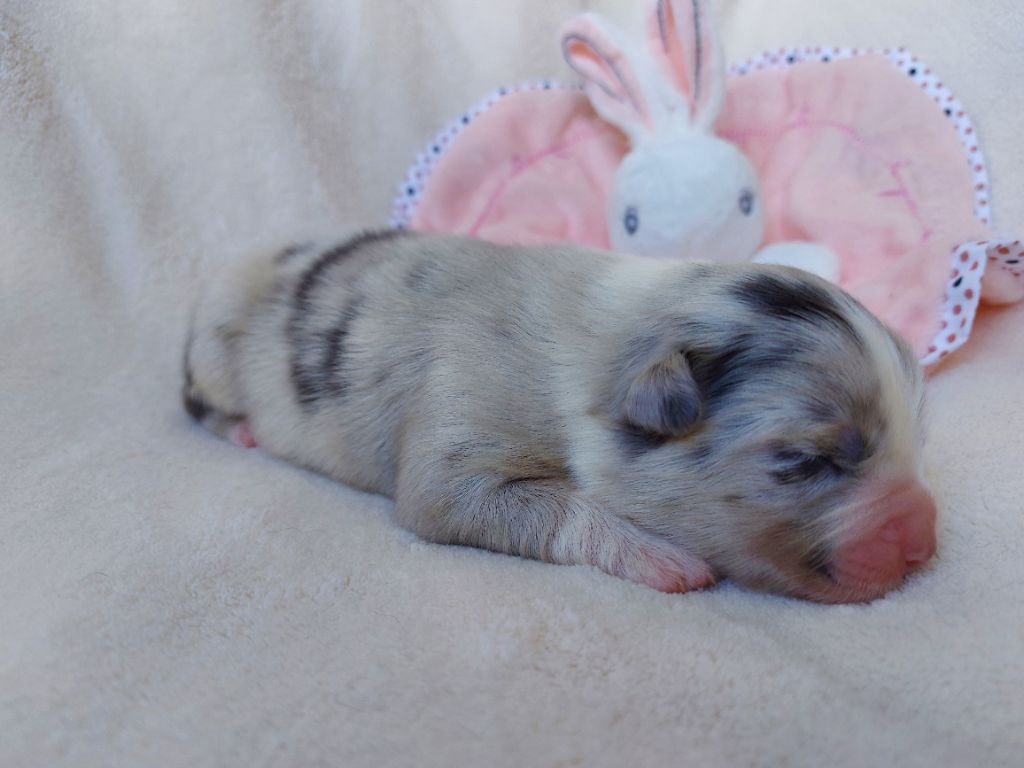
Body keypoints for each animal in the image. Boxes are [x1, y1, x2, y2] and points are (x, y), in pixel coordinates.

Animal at [183, 230, 937, 603]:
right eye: (806, 462)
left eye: (915, 441)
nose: (924, 544)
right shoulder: (457, 434)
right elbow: (498, 503)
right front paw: (662, 558)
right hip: (214, 342)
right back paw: (243, 430)